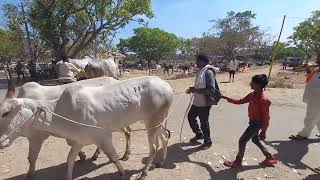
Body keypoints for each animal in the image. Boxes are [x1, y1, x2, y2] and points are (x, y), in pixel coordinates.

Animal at [0, 76, 172, 180]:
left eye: (6, 112)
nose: (1, 141)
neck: (60, 111)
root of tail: (165, 84)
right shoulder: (79, 141)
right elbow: (70, 159)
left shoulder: (103, 137)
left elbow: (113, 157)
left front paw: (122, 173)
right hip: (157, 122)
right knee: (164, 138)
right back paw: (161, 161)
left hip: (153, 122)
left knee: (153, 147)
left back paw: (144, 172)